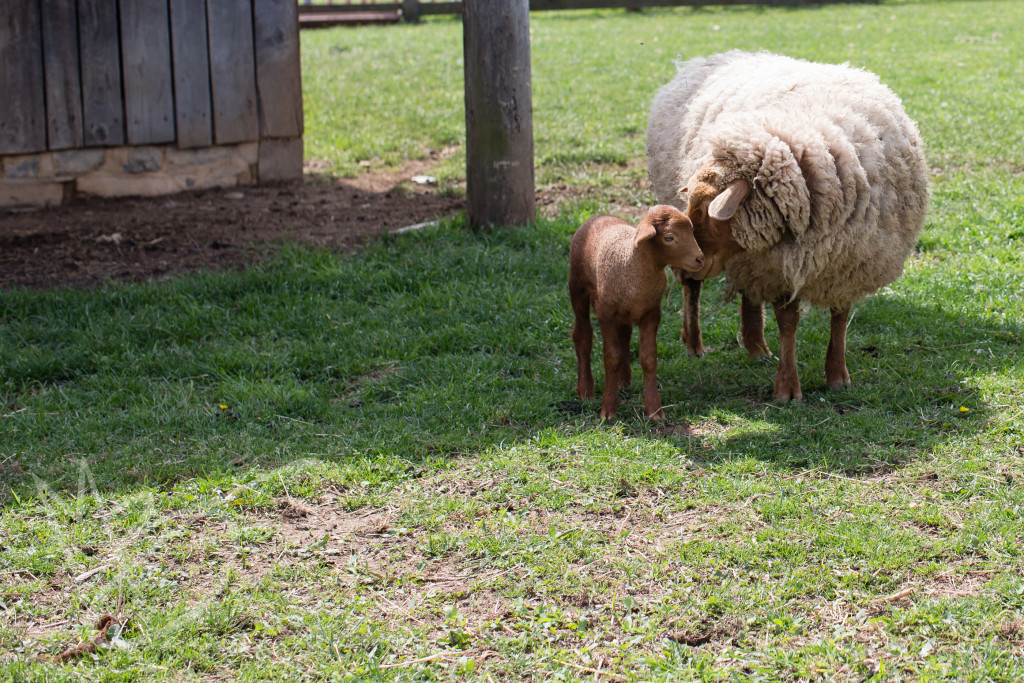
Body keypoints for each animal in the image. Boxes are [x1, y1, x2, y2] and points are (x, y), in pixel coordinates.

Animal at [569, 205, 704, 421]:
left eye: (691, 232)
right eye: (668, 237)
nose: (700, 259)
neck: (632, 262)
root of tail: (598, 216)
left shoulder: (651, 313)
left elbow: (648, 358)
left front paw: (654, 410)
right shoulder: (605, 313)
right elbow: (611, 357)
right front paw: (608, 410)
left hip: (626, 311)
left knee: (624, 337)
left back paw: (624, 381)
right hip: (577, 287)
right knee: (582, 336)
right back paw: (585, 390)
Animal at [647, 53, 929, 403]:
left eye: (710, 214)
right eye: (694, 211)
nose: (696, 262)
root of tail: (694, 62)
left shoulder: (847, 262)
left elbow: (840, 317)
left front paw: (838, 375)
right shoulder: (781, 266)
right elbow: (788, 323)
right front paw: (788, 388)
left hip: (753, 261)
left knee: (747, 292)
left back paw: (756, 346)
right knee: (692, 289)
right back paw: (695, 343)